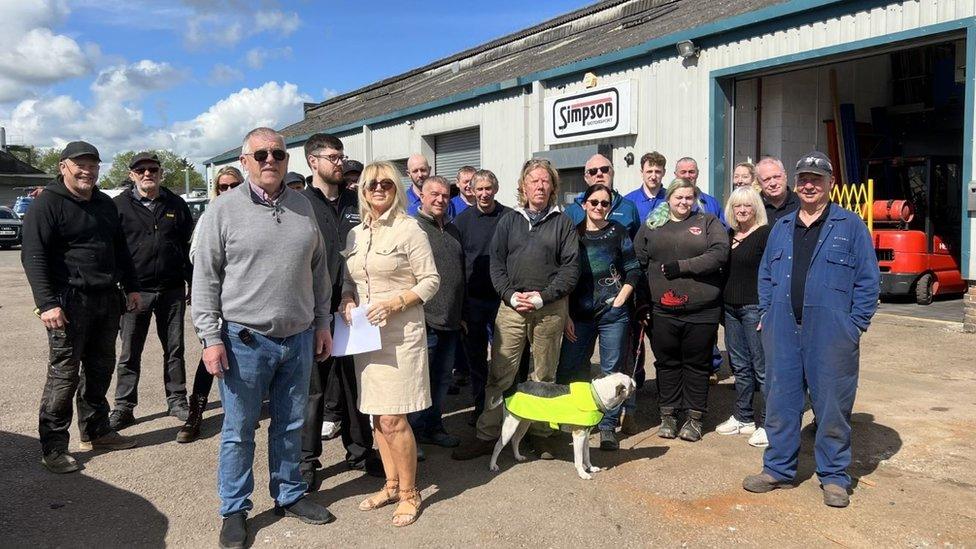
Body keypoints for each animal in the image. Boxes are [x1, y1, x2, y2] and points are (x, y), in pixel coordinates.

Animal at [488, 372, 640, 480]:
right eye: (630, 383)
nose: (635, 380)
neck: (595, 395)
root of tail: (513, 388)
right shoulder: (578, 436)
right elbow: (579, 459)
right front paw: (582, 473)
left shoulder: (586, 436)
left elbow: (586, 456)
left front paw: (590, 468)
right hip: (510, 425)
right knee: (498, 445)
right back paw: (493, 465)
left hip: (524, 423)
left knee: (515, 440)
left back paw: (518, 457)